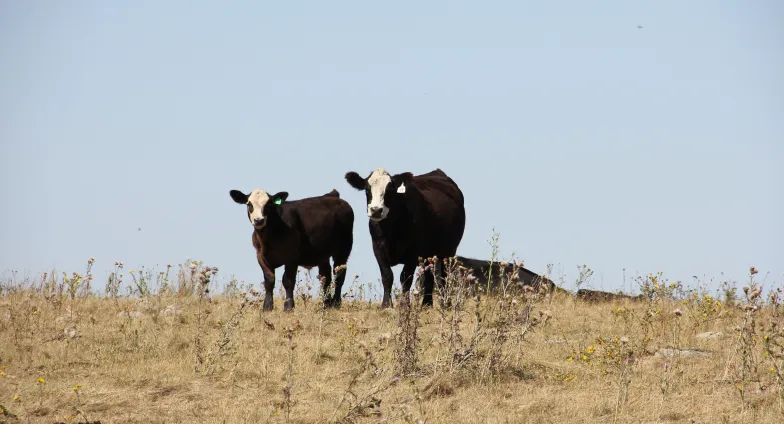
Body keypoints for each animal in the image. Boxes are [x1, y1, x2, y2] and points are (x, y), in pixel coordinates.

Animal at [344, 168, 466, 308]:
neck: (391, 230)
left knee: (444, 276)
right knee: (429, 276)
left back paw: (446, 303)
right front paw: (386, 304)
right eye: (367, 189)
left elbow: (405, 278)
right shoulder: (377, 247)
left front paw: (404, 305)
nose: (376, 210)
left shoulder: (413, 252)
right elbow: (387, 275)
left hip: (449, 250)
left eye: (390, 190)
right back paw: (427, 304)